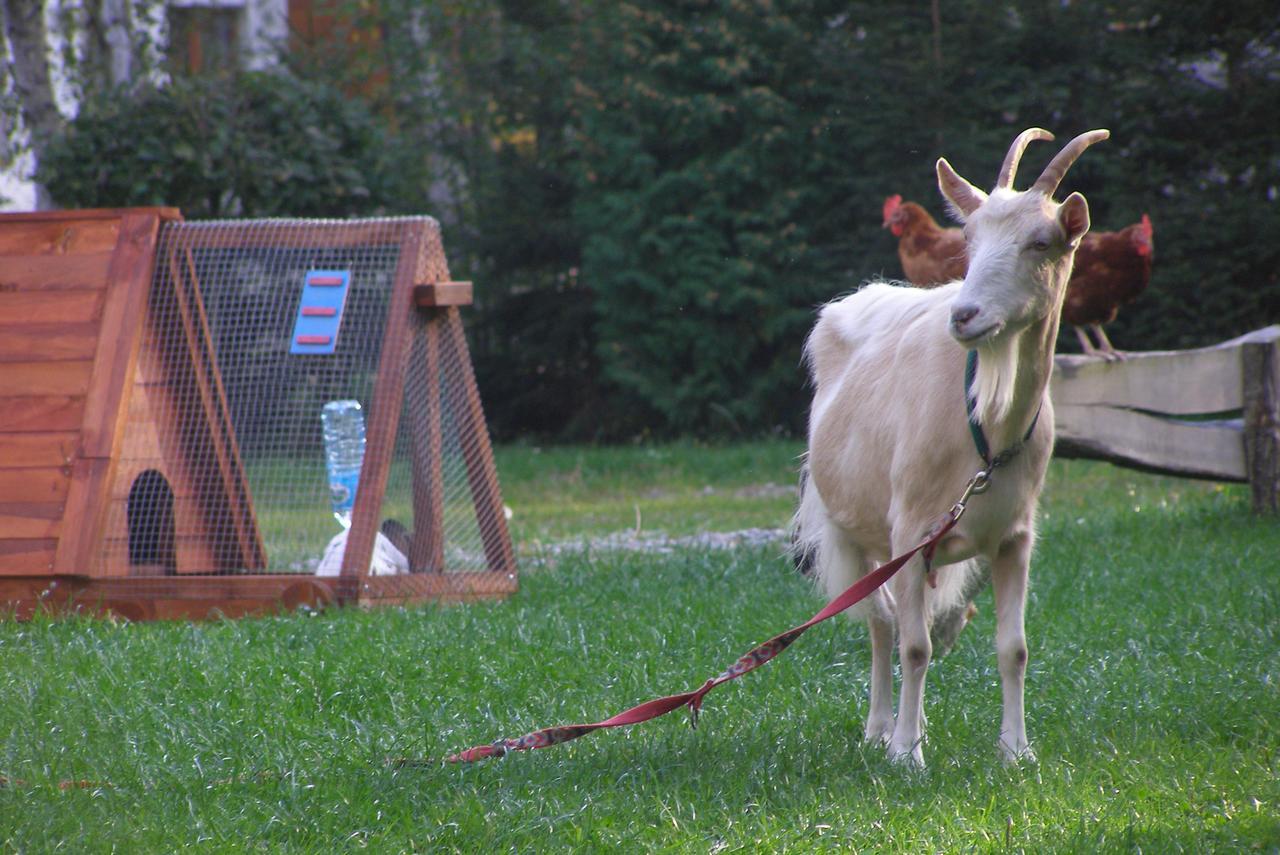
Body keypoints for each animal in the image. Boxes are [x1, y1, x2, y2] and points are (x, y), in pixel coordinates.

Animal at [793, 126, 1105, 767]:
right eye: (968, 237)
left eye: (1041, 241)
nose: (964, 315)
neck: (984, 425)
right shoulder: (911, 532)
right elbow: (913, 647)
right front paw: (907, 755)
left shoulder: (1014, 537)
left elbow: (1014, 647)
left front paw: (1016, 751)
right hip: (857, 530)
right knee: (882, 624)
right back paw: (880, 728)